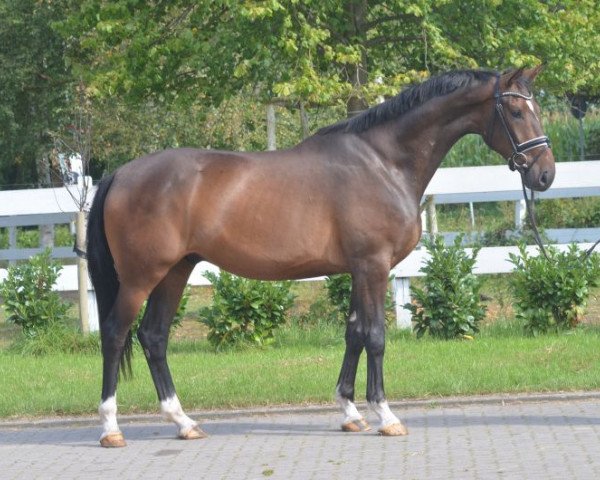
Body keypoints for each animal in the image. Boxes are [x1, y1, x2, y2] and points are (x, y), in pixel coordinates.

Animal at [86, 66, 556, 446]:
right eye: (516, 112)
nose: (545, 174)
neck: (383, 163)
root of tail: (120, 173)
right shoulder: (373, 266)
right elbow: (376, 336)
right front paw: (385, 415)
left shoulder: (357, 270)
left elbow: (353, 334)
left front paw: (350, 413)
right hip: (142, 276)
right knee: (115, 333)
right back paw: (111, 428)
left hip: (175, 271)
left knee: (154, 337)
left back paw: (183, 422)